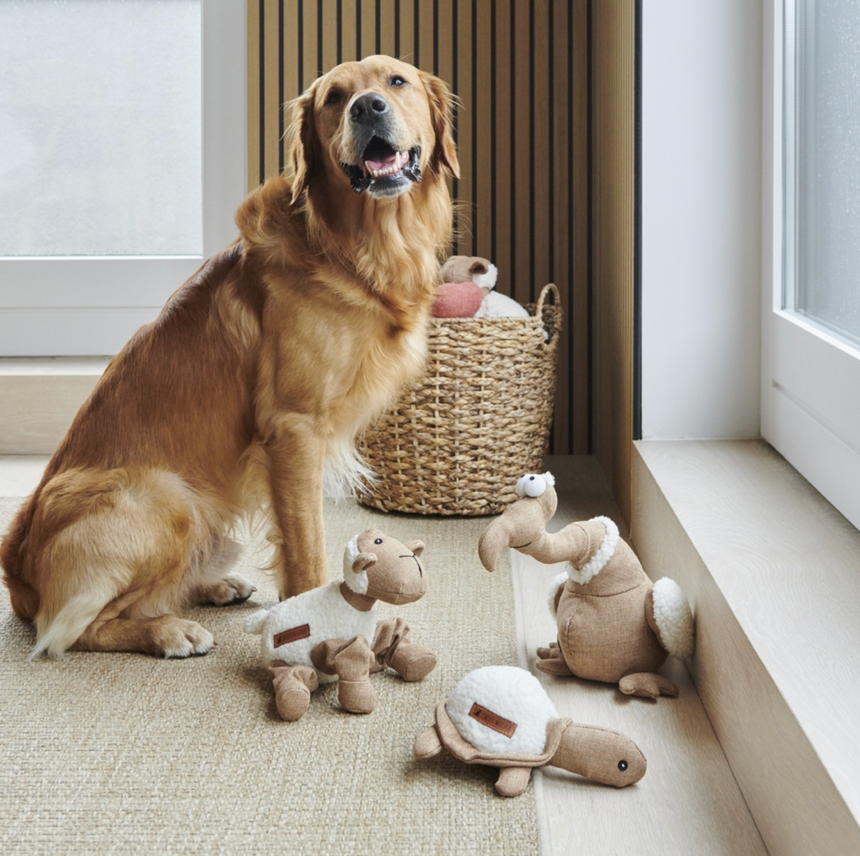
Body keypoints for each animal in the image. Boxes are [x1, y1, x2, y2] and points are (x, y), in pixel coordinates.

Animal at [1, 56, 456, 660]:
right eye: (335, 98)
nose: (368, 107)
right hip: (169, 498)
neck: (356, 248)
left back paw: (214, 586)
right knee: (71, 631)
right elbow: (307, 549)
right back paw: (169, 630)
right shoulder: (294, 429)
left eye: (396, 82)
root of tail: (16, 567)